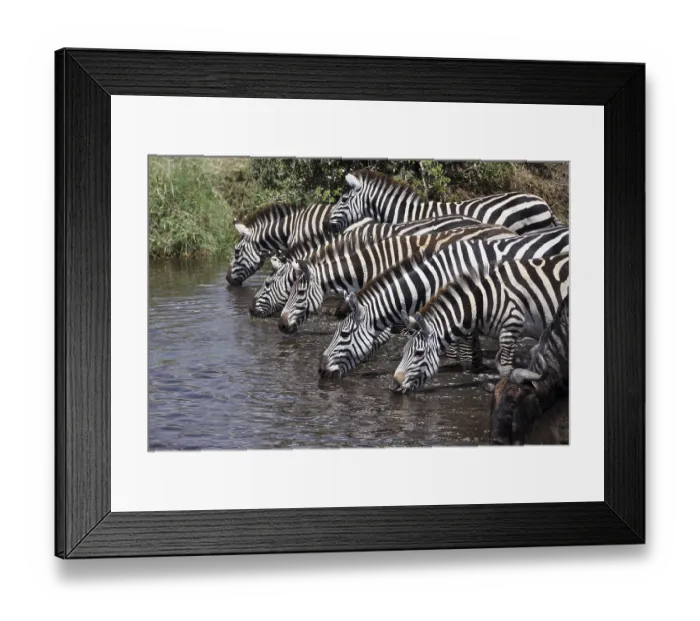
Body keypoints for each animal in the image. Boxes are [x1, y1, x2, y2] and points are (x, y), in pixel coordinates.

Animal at [318, 227, 569, 378]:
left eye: (344, 334)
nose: (320, 370)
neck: (441, 275)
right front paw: (477, 365)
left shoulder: (469, 305)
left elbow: (465, 351)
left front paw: (471, 370)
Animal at [391, 255, 570, 393]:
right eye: (404, 351)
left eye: (418, 353)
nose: (394, 386)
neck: (484, 302)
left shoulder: (510, 329)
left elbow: (505, 369)